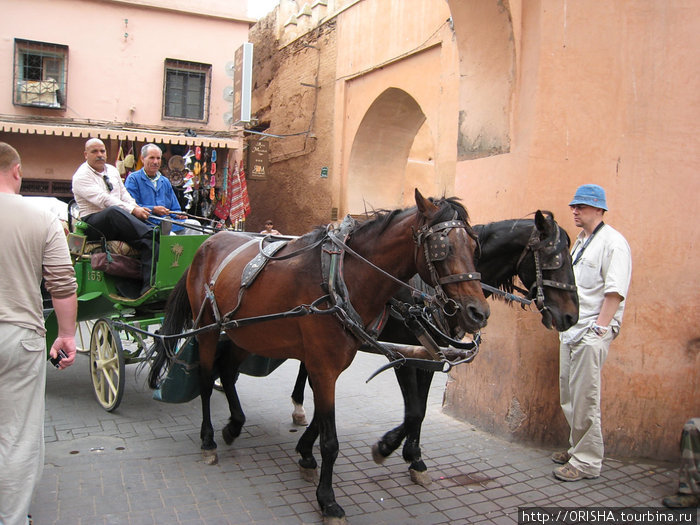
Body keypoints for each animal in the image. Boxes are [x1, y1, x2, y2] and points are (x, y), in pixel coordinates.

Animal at [146, 190, 490, 520]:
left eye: (475, 247)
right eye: (442, 248)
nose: (478, 312)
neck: (342, 278)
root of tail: (208, 242)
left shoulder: (344, 361)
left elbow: (389, 415)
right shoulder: (331, 366)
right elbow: (332, 440)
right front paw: (328, 500)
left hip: (246, 332)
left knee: (227, 372)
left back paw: (234, 425)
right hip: (206, 327)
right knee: (206, 379)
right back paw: (208, 440)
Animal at [288, 211, 576, 486]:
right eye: (554, 258)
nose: (571, 316)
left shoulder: (429, 356)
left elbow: (421, 410)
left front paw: (414, 457)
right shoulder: (403, 356)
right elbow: (413, 411)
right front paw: (386, 446)